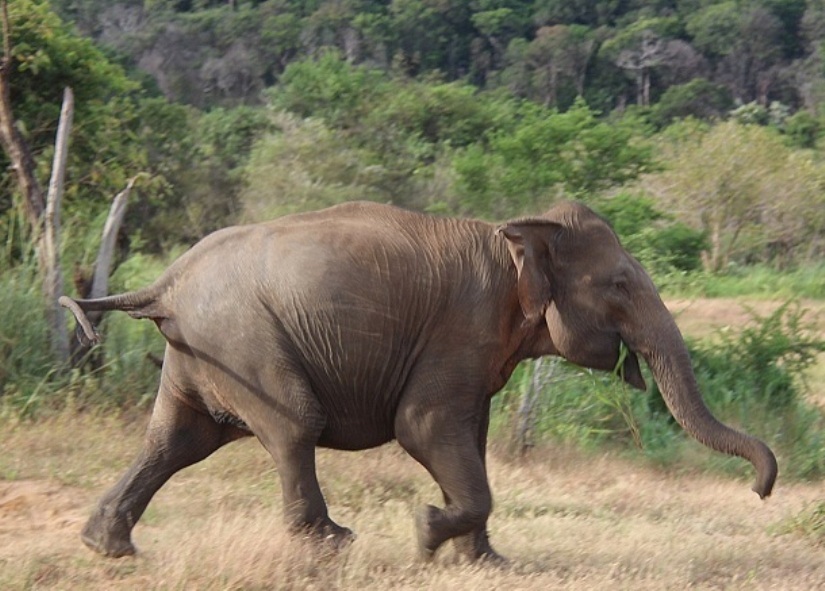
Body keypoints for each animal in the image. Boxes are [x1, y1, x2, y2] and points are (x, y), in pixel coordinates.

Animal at [61, 200, 776, 564]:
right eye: (621, 285)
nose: (761, 490)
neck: (515, 231)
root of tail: (165, 283)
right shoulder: (462, 327)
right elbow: (425, 428)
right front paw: (427, 532)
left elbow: (470, 438)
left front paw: (485, 564)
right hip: (243, 339)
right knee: (293, 424)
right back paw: (334, 547)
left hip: (203, 348)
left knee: (177, 440)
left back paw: (109, 548)